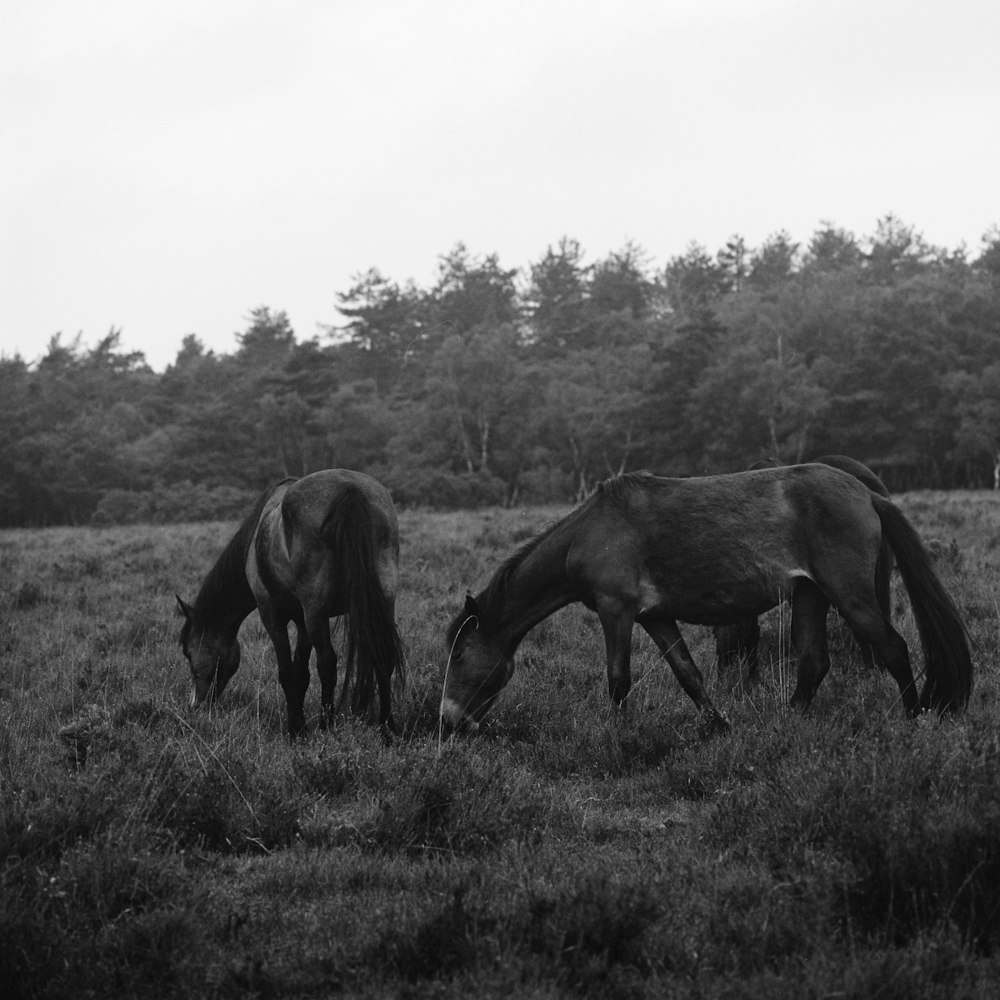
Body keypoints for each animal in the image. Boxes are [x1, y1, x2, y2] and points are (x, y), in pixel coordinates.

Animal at [178, 468, 404, 736]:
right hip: (382, 601)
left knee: (327, 662)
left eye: (188, 652)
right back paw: (386, 728)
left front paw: (295, 729)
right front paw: (300, 724)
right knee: (383, 656)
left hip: (316, 612)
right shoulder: (302, 620)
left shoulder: (272, 614)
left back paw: (326, 727)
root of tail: (349, 488)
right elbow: (301, 673)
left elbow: (287, 671)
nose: (195, 706)